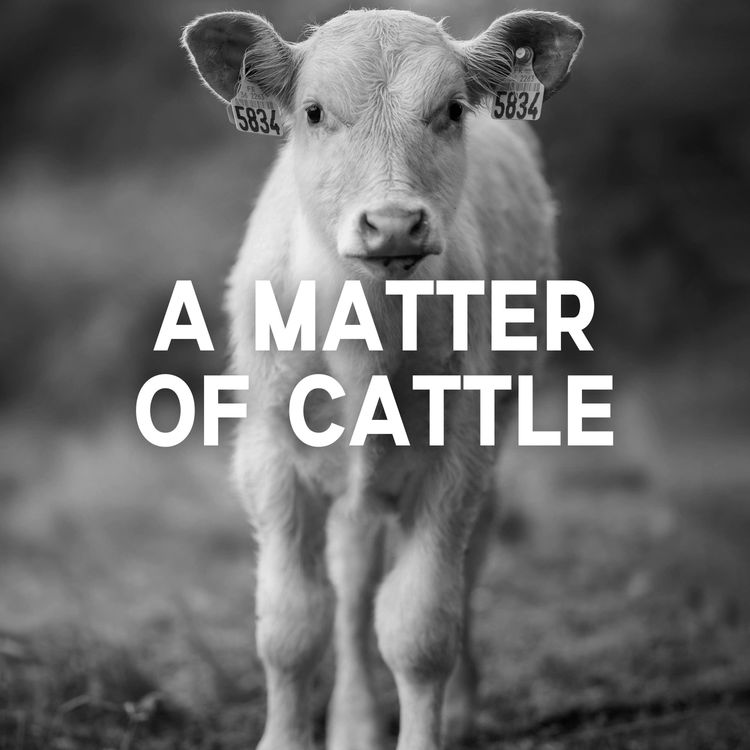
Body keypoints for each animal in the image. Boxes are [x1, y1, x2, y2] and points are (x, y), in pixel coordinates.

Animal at [182, 8, 583, 750]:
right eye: (314, 111)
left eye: (452, 109)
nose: (393, 223)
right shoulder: (270, 458)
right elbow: (291, 625)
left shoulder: (456, 459)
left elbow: (420, 628)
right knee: (350, 582)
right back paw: (355, 722)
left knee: (467, 562)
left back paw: (459, 711)